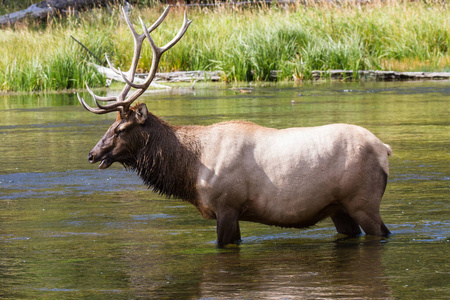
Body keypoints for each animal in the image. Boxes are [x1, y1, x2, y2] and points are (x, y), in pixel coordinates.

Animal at [78, 5, 390, 247]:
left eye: (120, 129)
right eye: (110, 126)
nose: (92, 154)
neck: (191, 170)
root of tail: (385, 149)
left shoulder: (227, 205)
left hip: (363, 201)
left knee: (382, 232)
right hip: (339, 209)